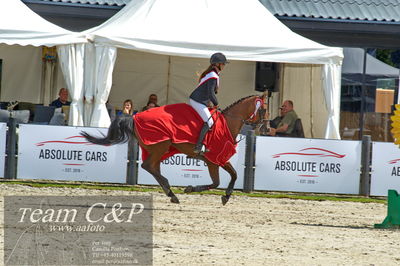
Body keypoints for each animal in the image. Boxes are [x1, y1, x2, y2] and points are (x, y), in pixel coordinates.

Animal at [82, 94, 266, 205]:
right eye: (263, 109)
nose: (262, 127)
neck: (227, 123)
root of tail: (134, 117)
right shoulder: (216, 159)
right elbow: (229, 177)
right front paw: (225, 196)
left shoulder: (214, 160)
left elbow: (221, 180)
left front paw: (194, 189)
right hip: (159, 146)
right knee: (148, 166)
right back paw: (170, 191)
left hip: (158, 150)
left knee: (152, 168)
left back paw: (170, 192)